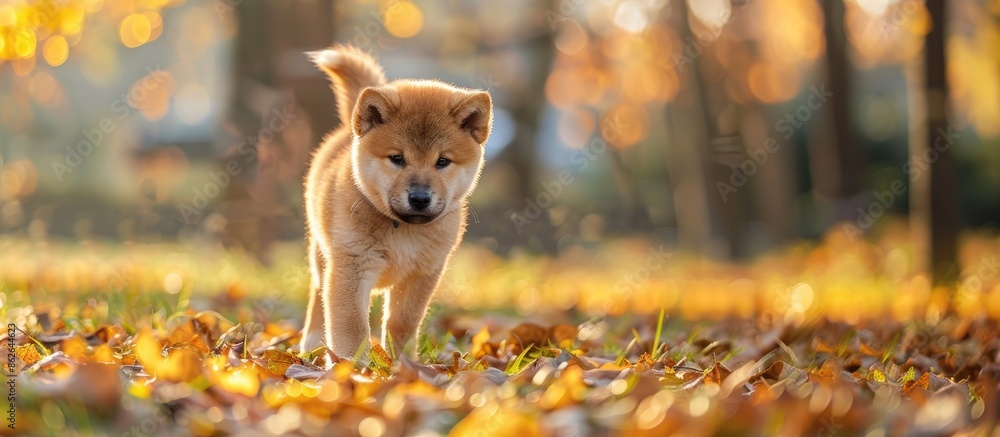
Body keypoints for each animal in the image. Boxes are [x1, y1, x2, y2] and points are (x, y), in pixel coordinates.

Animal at [300, 46, 496, 362]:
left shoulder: (422, 273)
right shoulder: (351, 266)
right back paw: (312, 343)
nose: (419, 198)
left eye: (442, 161)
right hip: (321, 255)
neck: (401, 231)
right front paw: (352, 369)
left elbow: (402, 324)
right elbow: (351, 327)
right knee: (318, 297)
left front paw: (402, 364)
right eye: (397, 158)